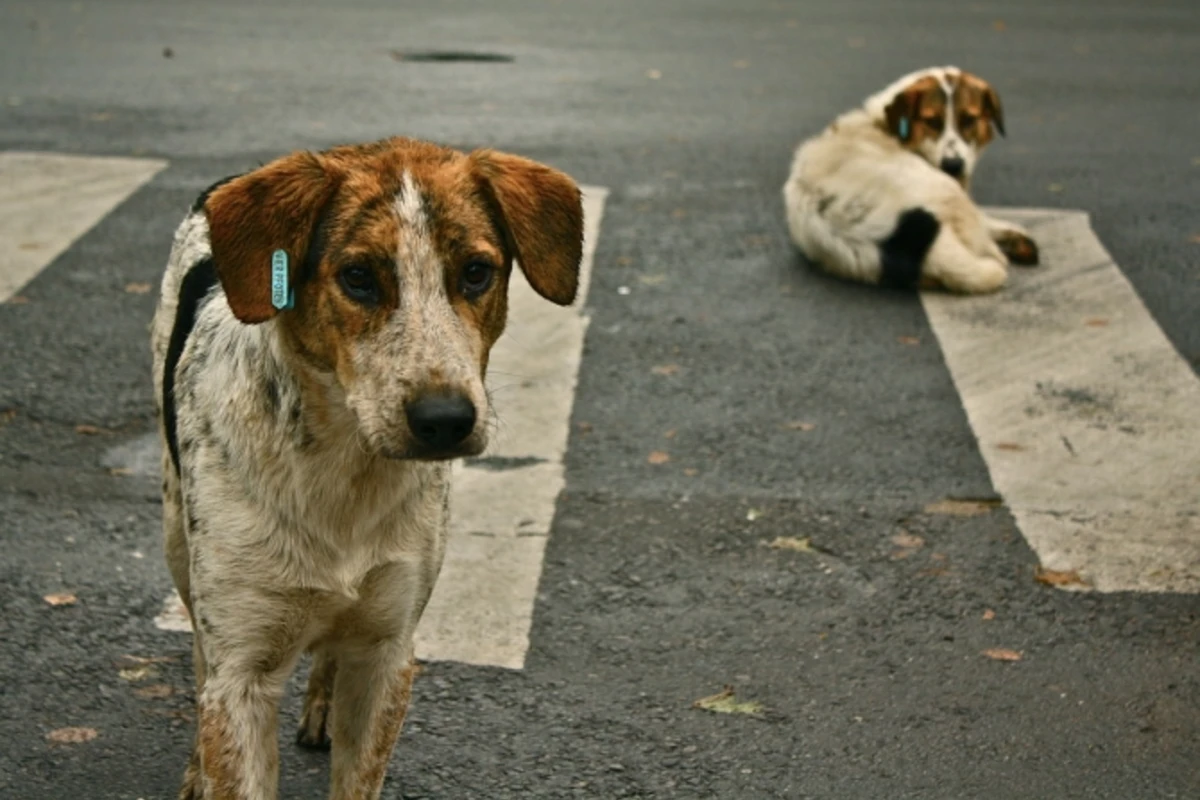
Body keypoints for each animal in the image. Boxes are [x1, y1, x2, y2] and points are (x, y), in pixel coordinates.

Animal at [152, 139, 583, 800]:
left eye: (476, 272)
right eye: (358, 277)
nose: (445, 420)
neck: (344, 472)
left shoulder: (388, 653)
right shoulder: (242, 671)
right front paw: (204, 766)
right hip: (178, 533)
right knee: (200, 649)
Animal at [782, 64, 1036, 292]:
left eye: (968, 120)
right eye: (932, 122)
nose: (953, 165)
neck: (884, 125)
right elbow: (984, 221)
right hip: (945, 190)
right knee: (986, 248)